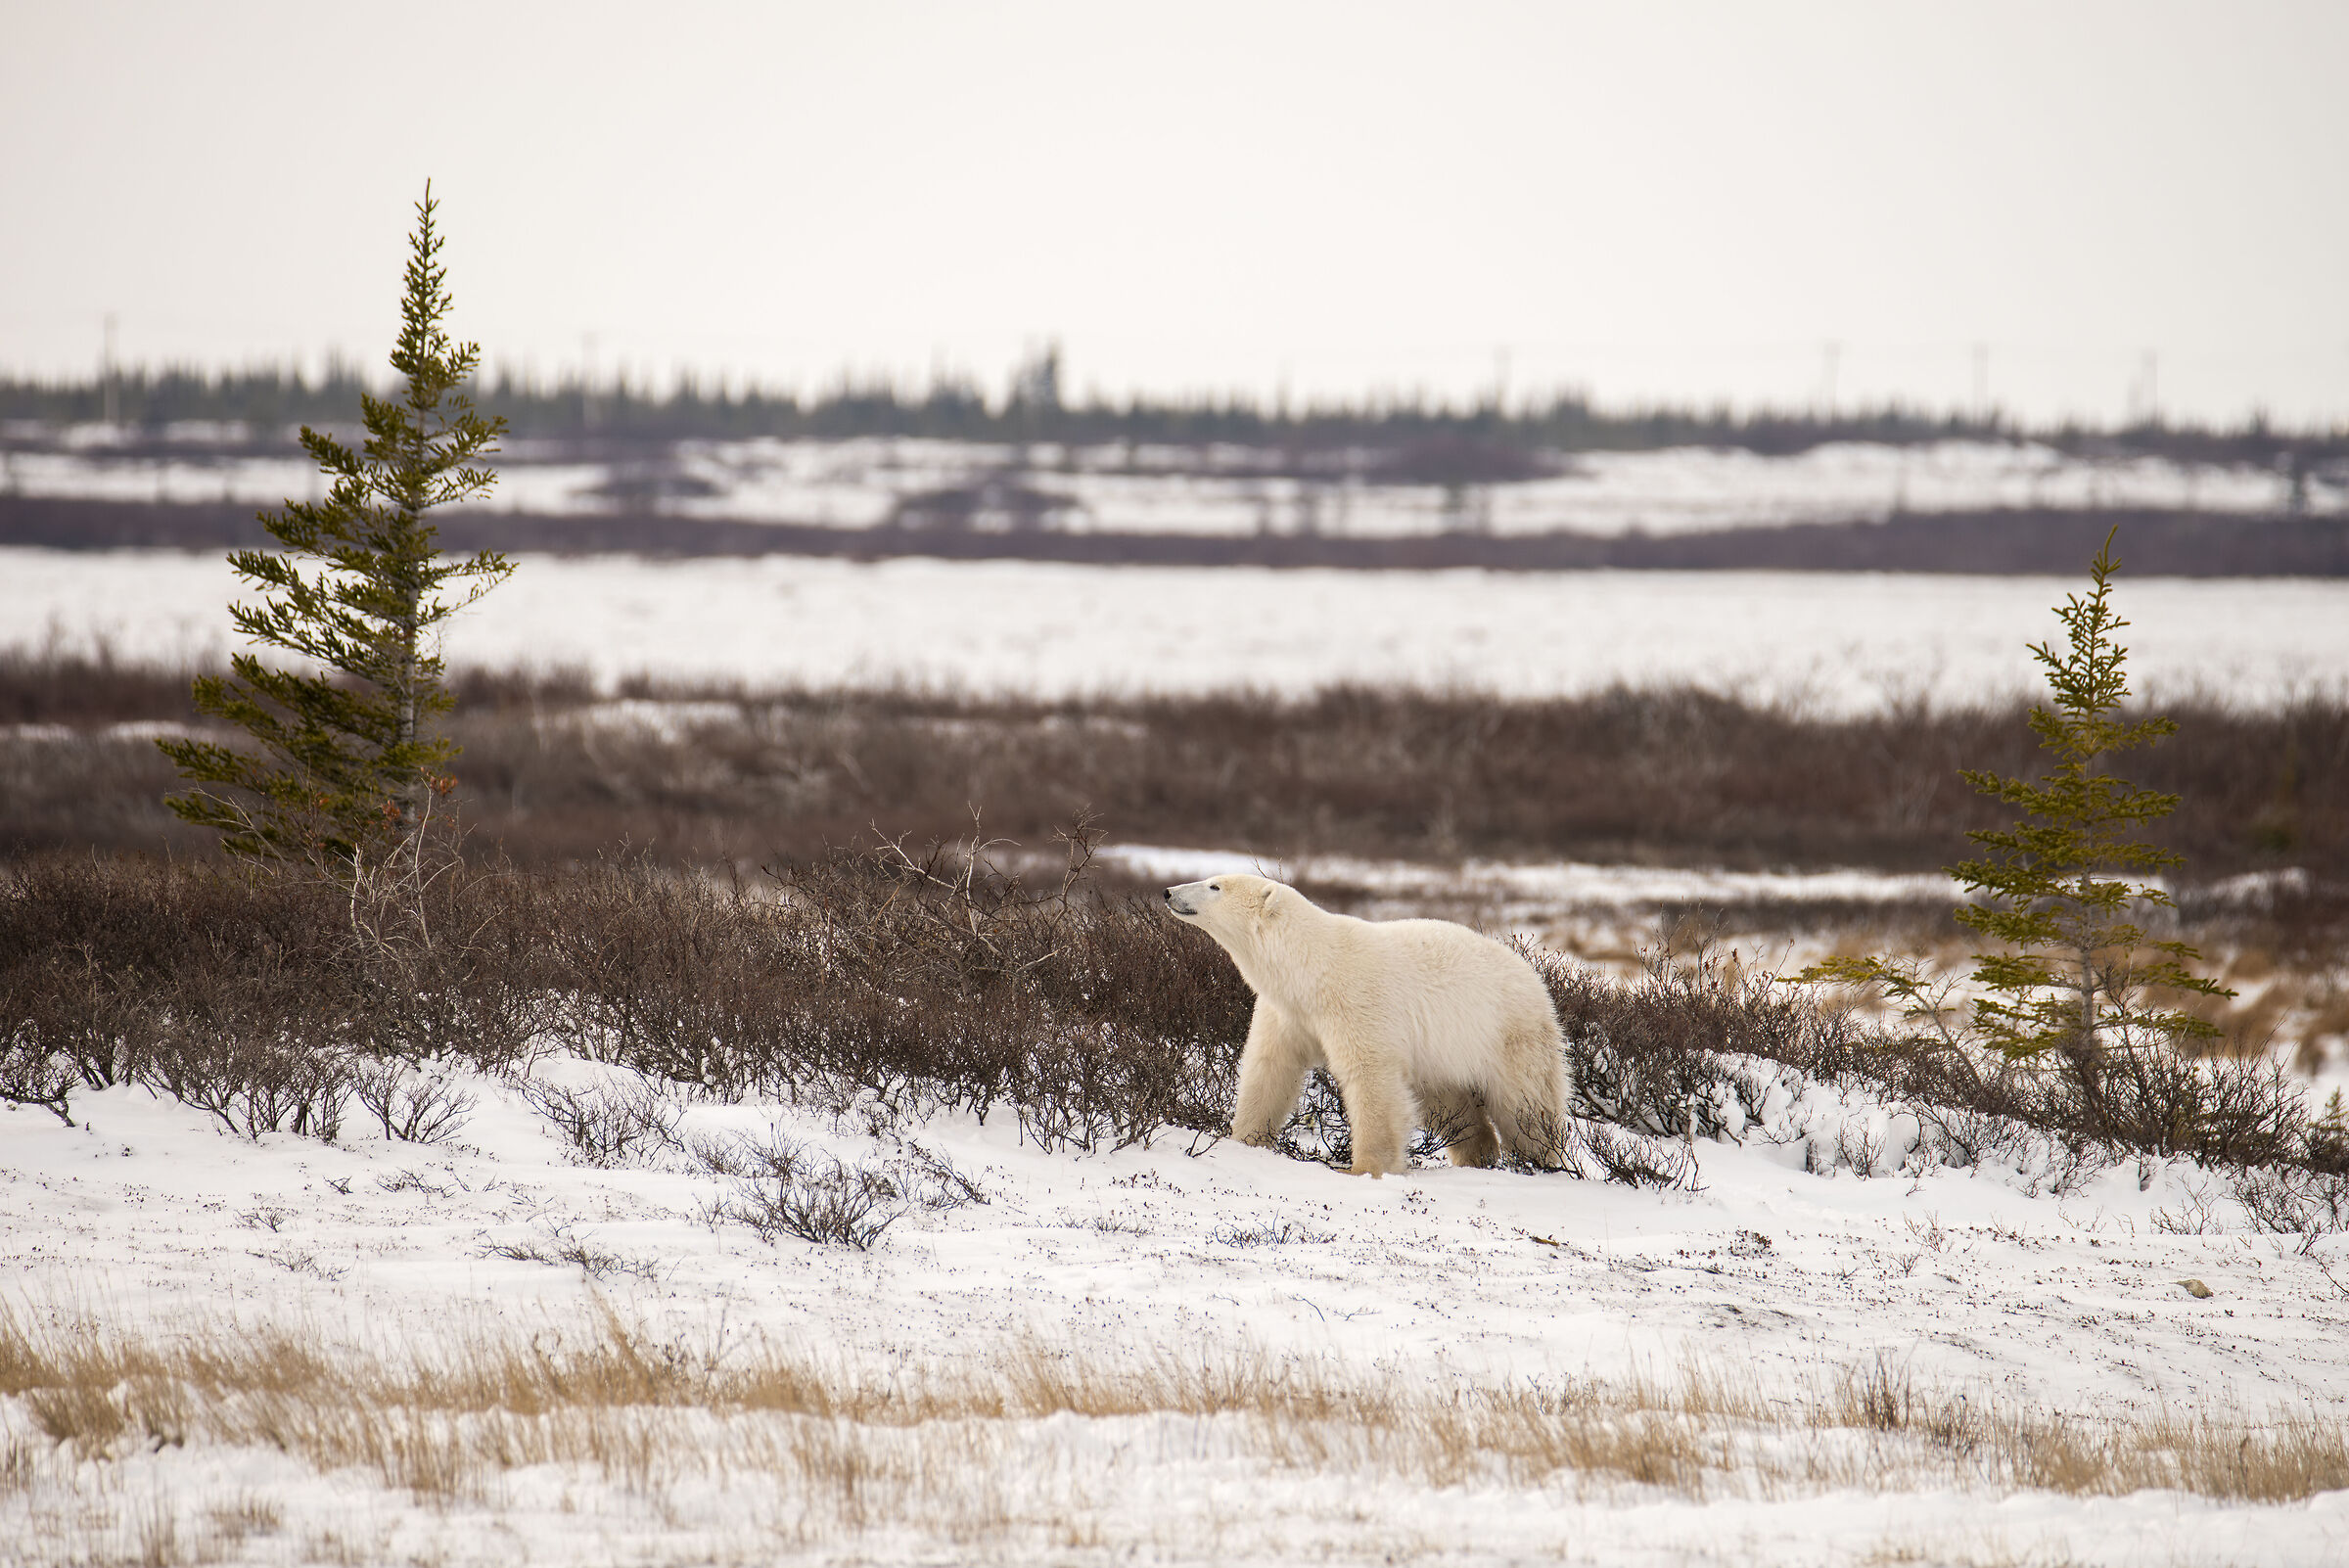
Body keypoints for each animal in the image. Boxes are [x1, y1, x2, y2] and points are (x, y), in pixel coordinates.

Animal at [1162, 873, 1570, 1177]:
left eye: (1215, 886)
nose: (1168, 891)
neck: (1312, 968)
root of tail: (1536, 980)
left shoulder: (1356, 1002)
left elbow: (1371, 1076)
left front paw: (1366, 1169)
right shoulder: (1288, 1012)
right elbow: (1268, 1070)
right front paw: (1244, 1141)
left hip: (1511, 1034)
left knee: (1527, 1106)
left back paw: (1545, 1162)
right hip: (1443, 1055)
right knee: (1449, 1105)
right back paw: (1477, 1155)